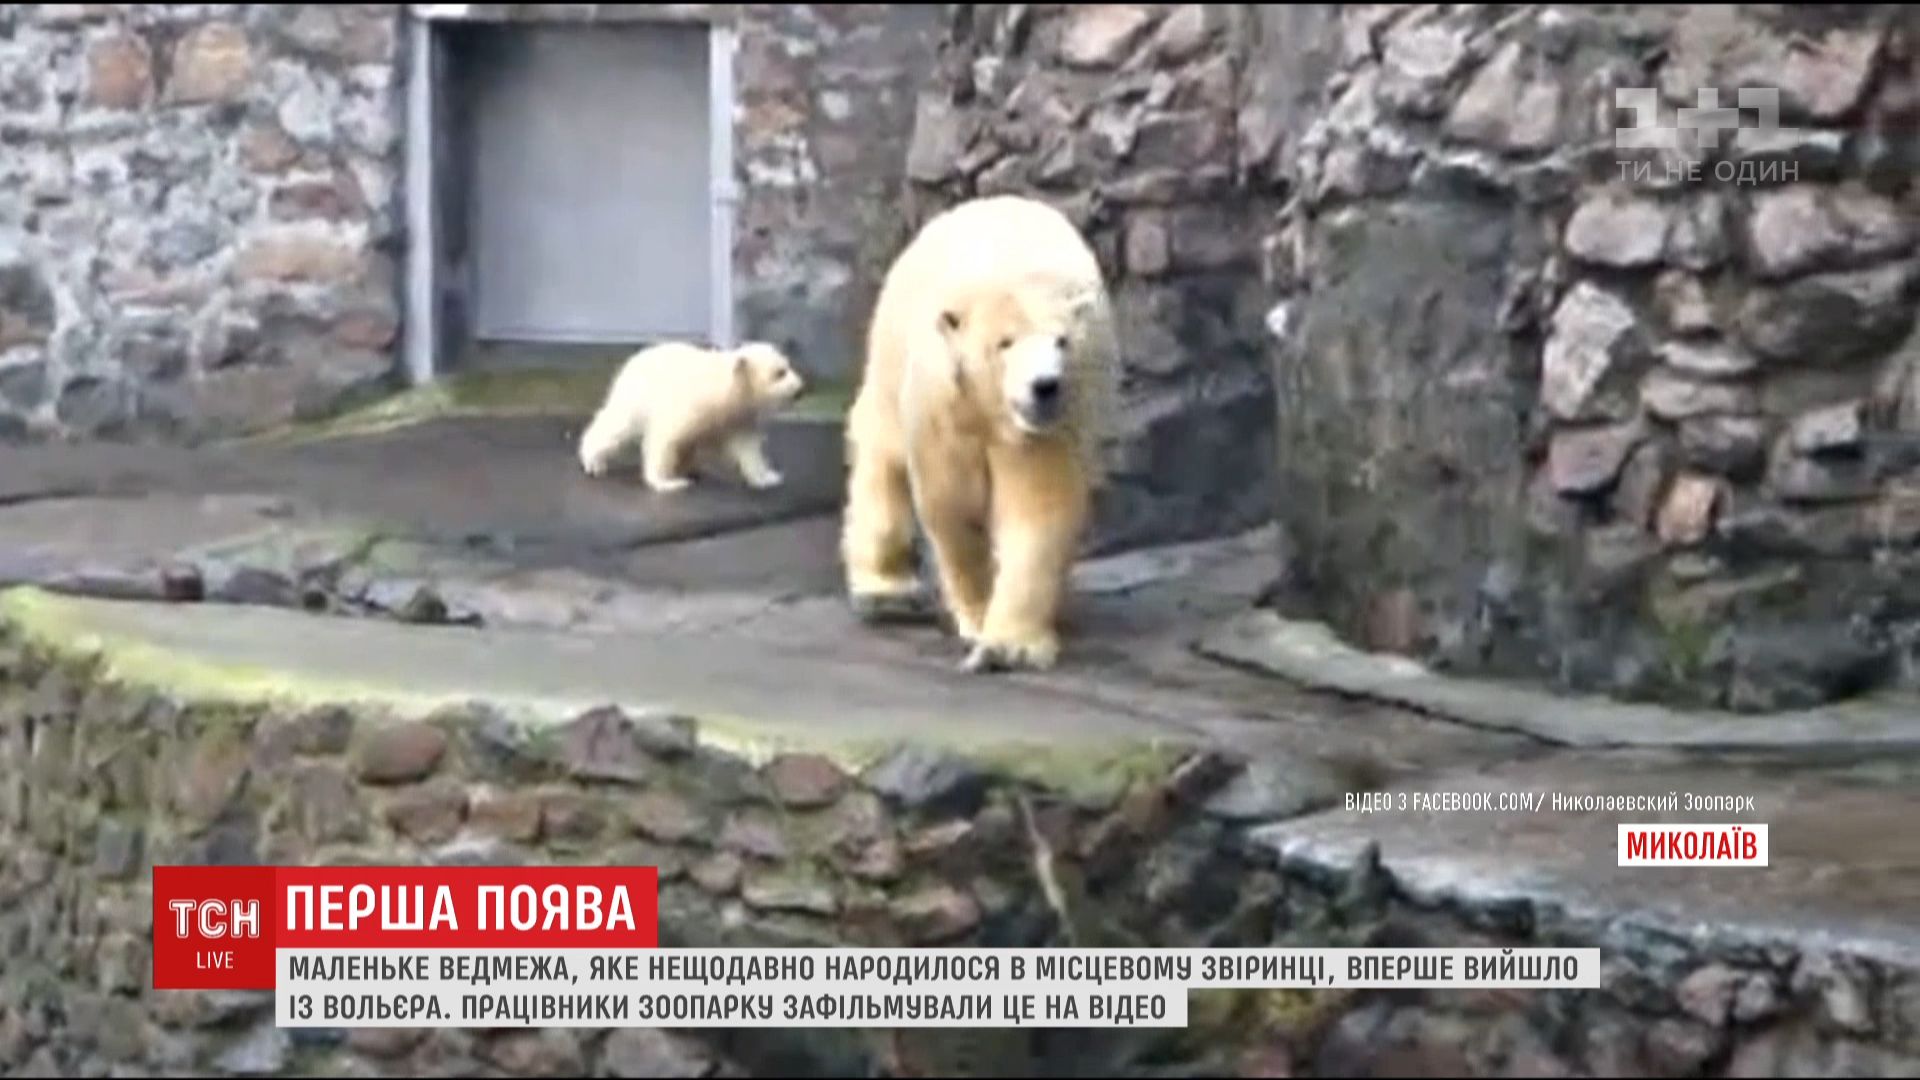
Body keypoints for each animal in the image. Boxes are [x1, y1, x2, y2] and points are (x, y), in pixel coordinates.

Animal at [844, 191, 1121, 664]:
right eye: (1004, 343)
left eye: (1062, 341)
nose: (1044, 385)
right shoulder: (945, 400)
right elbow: (953, 503)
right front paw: (977, 617)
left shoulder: (1057, 419)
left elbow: (1040, 504)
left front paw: (1011, 646)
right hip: (890, 348)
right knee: (883, 454)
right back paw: (885, 592)